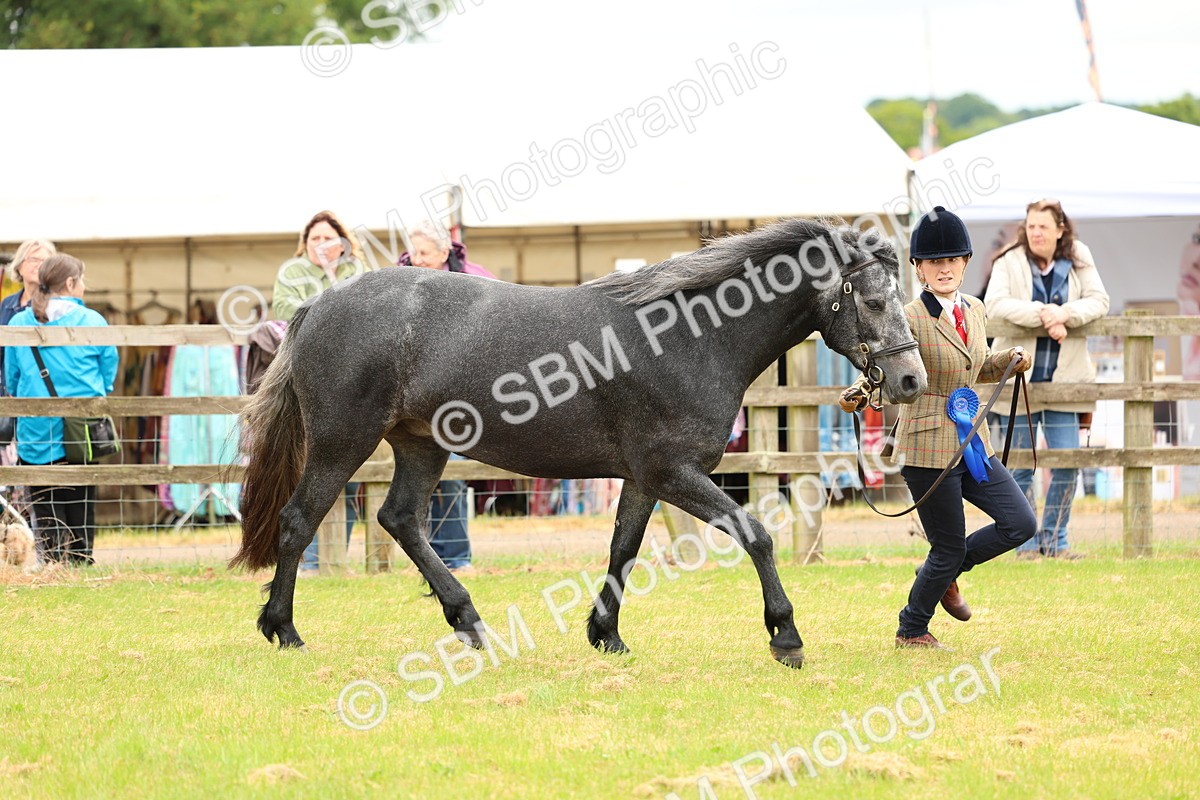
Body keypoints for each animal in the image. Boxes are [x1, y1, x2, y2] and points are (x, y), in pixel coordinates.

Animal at [230, 218, 927, 668]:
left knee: (400, 519)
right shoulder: (673, 472)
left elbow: (624, 549)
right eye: (871, 300)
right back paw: (283, 630)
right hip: (340, 442)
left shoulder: (646, 478)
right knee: (298, 522)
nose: (911, 379)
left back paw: (470, 622)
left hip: (421, 445)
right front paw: (785, 636)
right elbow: (754, 534)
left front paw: (605, 634)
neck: (688, 336)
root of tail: (320, 306)